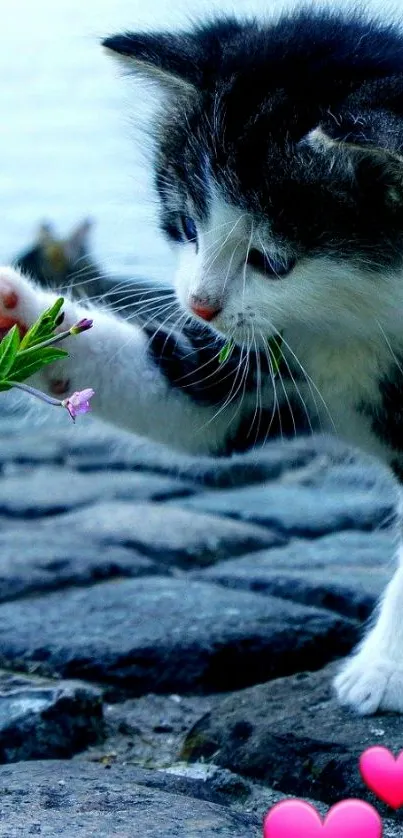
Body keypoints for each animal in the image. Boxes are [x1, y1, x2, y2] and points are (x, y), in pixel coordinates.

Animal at [2, 4, 403, 716]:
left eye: (272, 260)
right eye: (187, 226)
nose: (199, 304)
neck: (360, 323)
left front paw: (381, 670)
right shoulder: (272, 353)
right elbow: (190, 406)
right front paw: (15, 305)